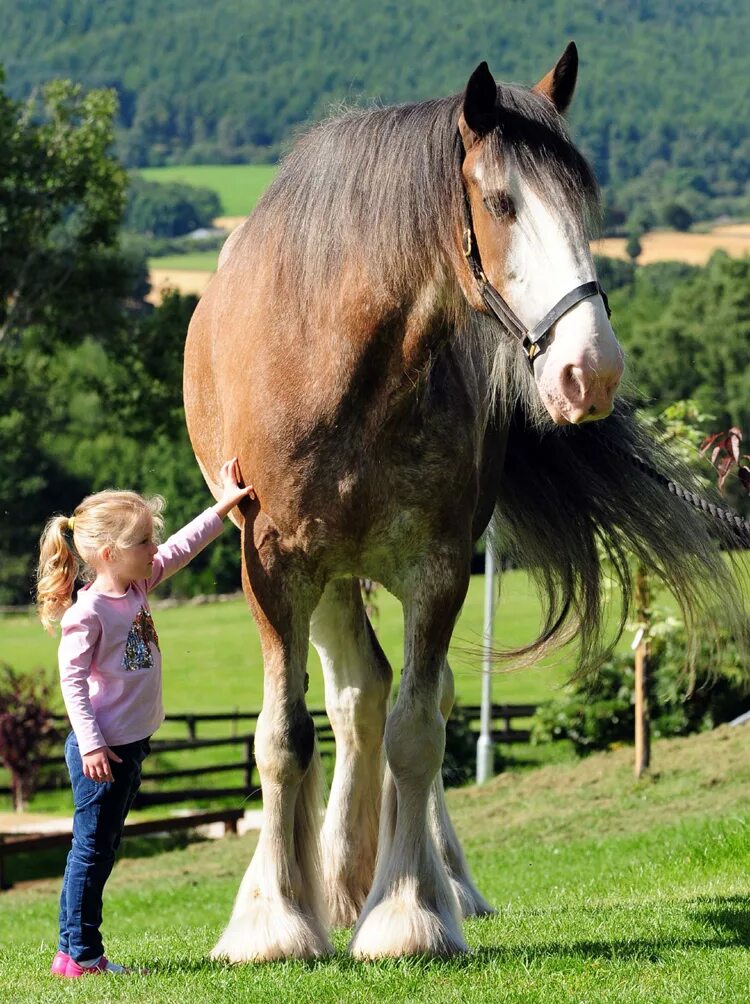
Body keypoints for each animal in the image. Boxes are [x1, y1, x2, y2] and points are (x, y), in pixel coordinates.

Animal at [184, 43, 742, 959]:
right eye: (502, 202)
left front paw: (409, 913)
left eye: (585, 204)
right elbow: (281, 737)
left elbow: (418, 729)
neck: (336, 362)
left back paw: (405, 882)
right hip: (327, 575)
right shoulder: (272, 565)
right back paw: (328, 883)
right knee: (349, 697)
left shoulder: (438, 569)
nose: (591, 370)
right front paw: (271, 922)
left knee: (393, 698)